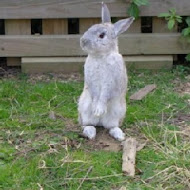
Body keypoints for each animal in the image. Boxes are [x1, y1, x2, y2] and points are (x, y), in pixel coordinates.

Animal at [77, 1, 134, 141]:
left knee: (111, 127)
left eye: (102, 35)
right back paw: (90, 132)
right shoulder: (91, 81)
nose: (82, 42)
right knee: (89, 124)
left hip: (118, 112)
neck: (101, 56)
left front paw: (99, 110)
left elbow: (104, 95)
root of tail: (100, 122)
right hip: (83, 109)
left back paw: (119, 135)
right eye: (90, 28)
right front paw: (95, 109)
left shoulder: (111, 81)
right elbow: (95, 94)